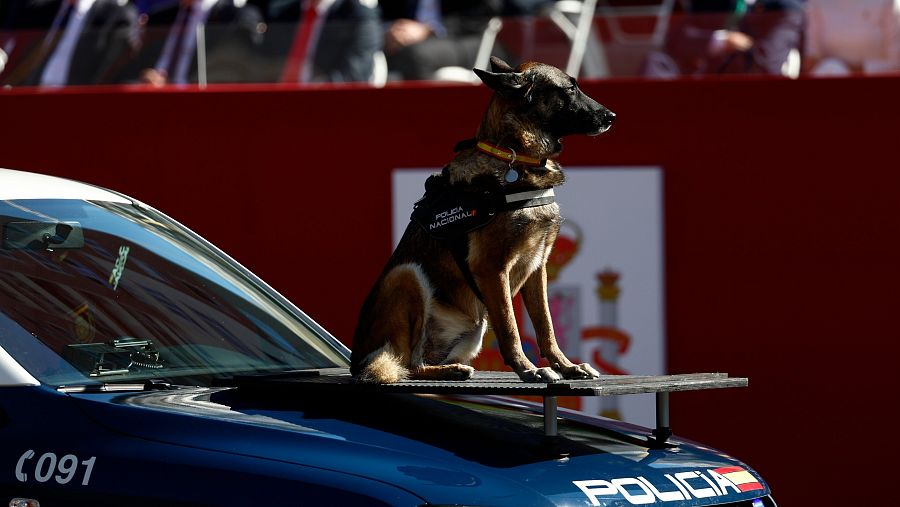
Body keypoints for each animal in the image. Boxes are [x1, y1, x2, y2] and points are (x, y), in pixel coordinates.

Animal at [348, 57, 616, 382]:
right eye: (570, 88)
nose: (612, 117)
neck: (514, 157)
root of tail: (357, 361)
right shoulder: (492, 268)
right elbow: (511, 328)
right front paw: (528, 369)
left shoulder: (538, 267)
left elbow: (546, 325)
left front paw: (565, 365)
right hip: (405, 275)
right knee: (407, 365)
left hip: (474, 327)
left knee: (418, 363)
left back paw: (451, 368)